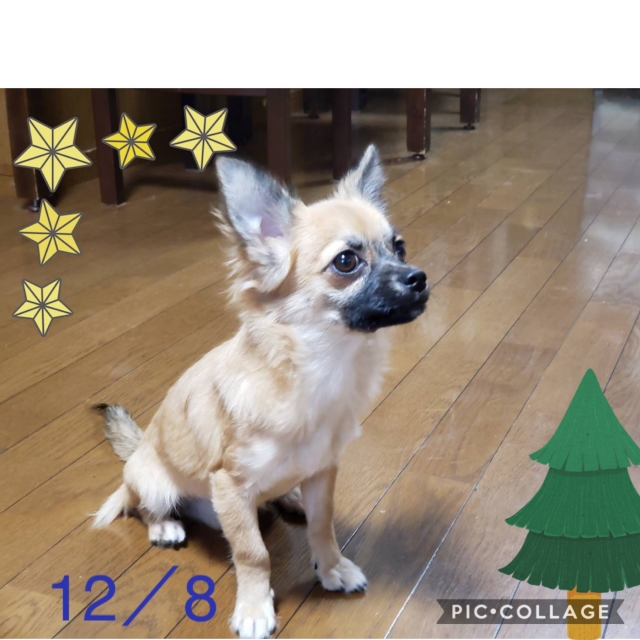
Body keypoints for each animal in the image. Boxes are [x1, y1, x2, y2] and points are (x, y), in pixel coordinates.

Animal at [93, 145, 428, 639]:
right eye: (346, 262)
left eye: (399, 247)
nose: (419, 277)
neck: (320, 370)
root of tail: (138, 449)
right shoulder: (230, 487)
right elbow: (254, 554)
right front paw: (254, 608)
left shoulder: (322, 471)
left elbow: (323, 526)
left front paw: (332, 568)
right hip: (153, 481)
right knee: (145, 506)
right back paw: (164, 527)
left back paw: (289, 499)